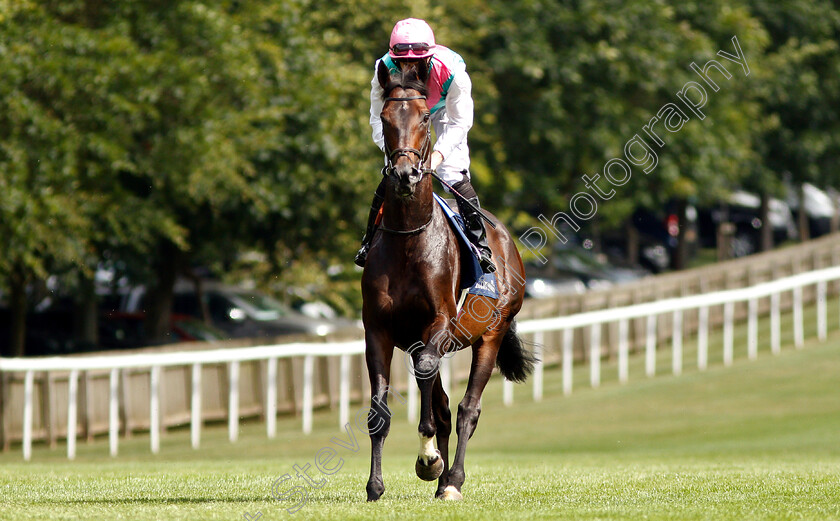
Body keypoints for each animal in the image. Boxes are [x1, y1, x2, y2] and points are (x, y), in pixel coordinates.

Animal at [362, 59, 540, 502]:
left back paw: (452, 479)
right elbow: (379, 410)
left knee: (466, 409)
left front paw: (428, 458)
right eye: (385, 117)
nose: (405, 175)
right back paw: (441, 477)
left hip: (491, 333)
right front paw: (375, 485)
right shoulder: (379, 330)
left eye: (426, 117)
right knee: (443, 404)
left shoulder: (440, 322)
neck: (410, 238)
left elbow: (433, 386)